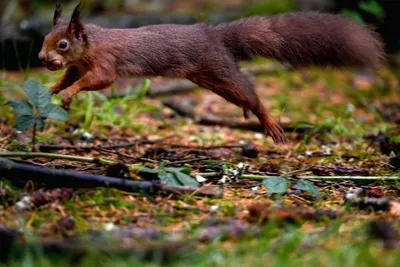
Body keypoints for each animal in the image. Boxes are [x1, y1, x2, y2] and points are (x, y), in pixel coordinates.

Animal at [38, 2, 384, 144]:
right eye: (43, 37)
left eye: (63, 43)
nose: (42, 58)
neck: (91, 44)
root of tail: (213, 34)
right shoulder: (78, 67)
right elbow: (69, 78)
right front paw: (53, 90)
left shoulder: (107, 63)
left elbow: (98, 81)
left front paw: (68, 94)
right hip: (210, 78)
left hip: (219, 69)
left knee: (251, 94)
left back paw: (268, 121)